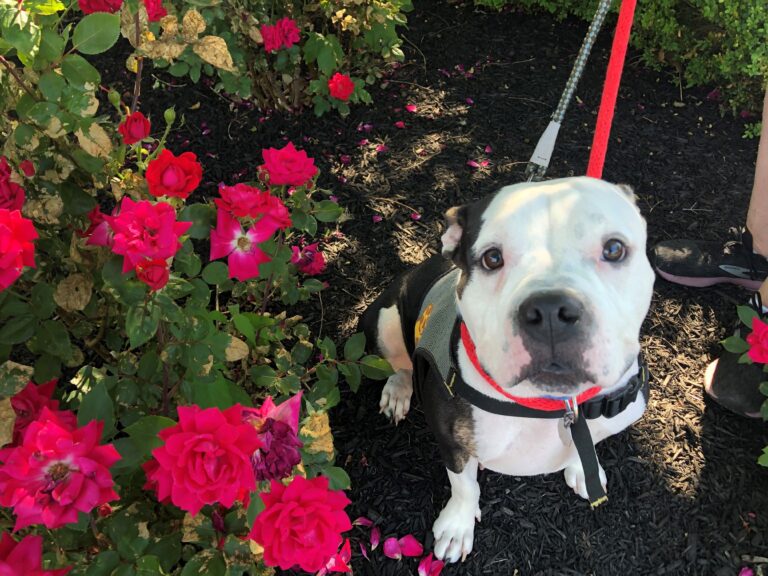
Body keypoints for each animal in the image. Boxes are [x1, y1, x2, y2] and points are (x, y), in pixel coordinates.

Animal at [360, 177, 656, 564]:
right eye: (492, 258)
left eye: (614, 249)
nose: (550, 310)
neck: (552, 404)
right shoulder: (452, 442)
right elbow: (464, 486)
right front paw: (457, 526)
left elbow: (588, 442)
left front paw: (581, 467)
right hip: (385, 318)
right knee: (397, 363)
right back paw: (397, 391)